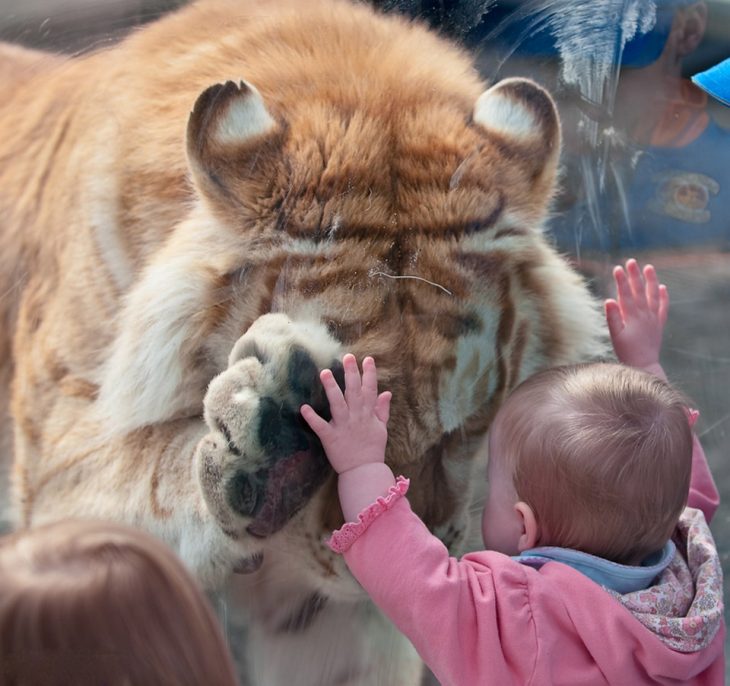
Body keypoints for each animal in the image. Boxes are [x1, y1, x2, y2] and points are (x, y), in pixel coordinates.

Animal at [0, 2, 604, 684]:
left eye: (467, 426)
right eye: (330, 427)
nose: (388, 570)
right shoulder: (54, 461)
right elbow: (146, 470)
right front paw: (268, 443)